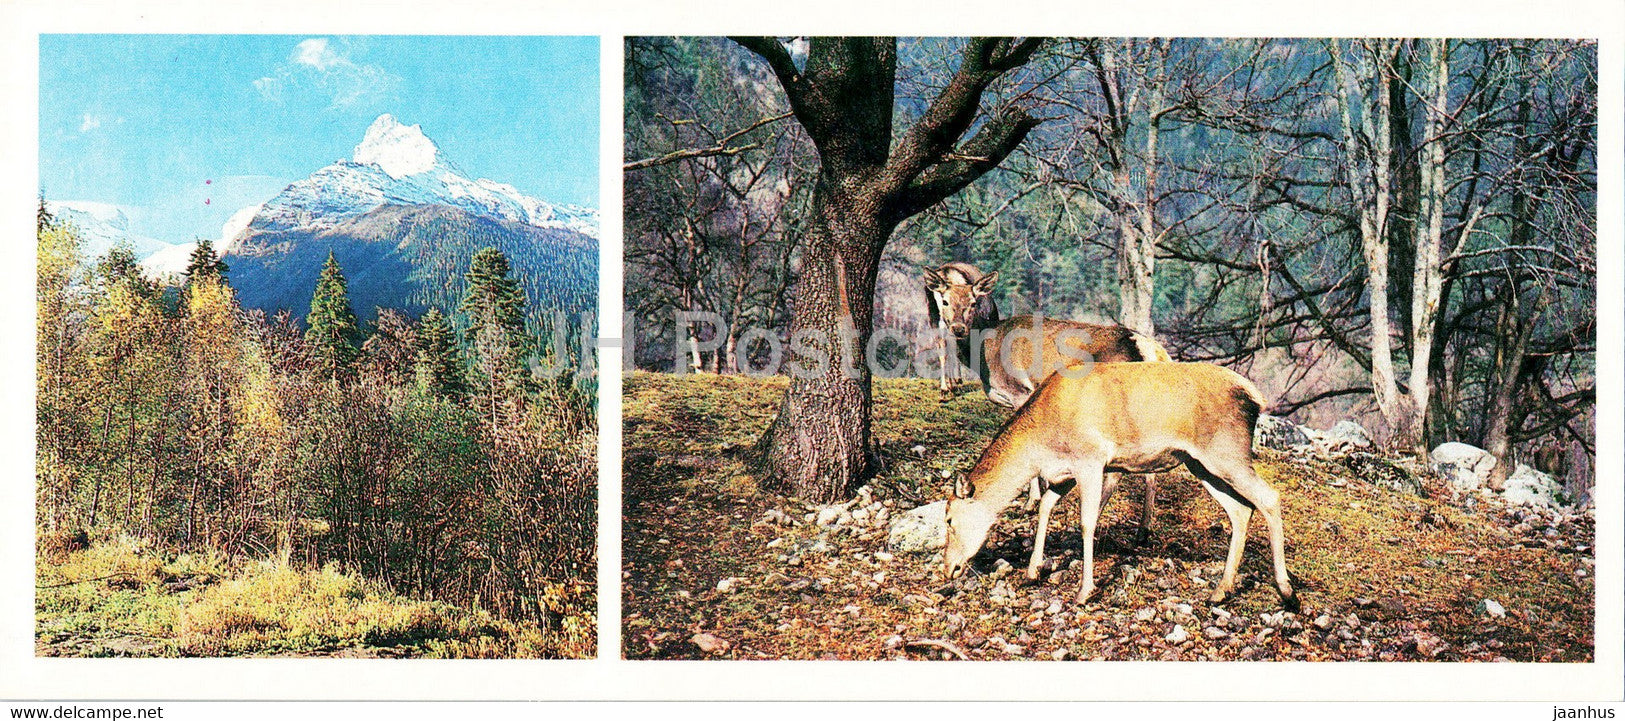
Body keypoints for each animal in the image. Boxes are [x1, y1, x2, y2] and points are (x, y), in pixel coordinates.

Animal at [923, 262, 1171, 544]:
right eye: (944, 300)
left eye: (973, 302)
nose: (958, 328)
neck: (986, 357)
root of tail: (1150, 351)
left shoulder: (1020, 391)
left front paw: (1030, 501)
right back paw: (1144, 529)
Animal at [940, 361, 1299, 611]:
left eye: (949, 520)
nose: (948, 568)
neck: (1043, 440)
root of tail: (1254, 397)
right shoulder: (1063, 472)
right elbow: (1045, 506)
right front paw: (1032, 571)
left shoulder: (1091, 459)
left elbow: (1087, 522)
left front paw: (1084, 592)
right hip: (1199, 463)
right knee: (1241, 510)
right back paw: (1220, 592)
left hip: (1227, 452)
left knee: (1269, 497)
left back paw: (1287, 591)